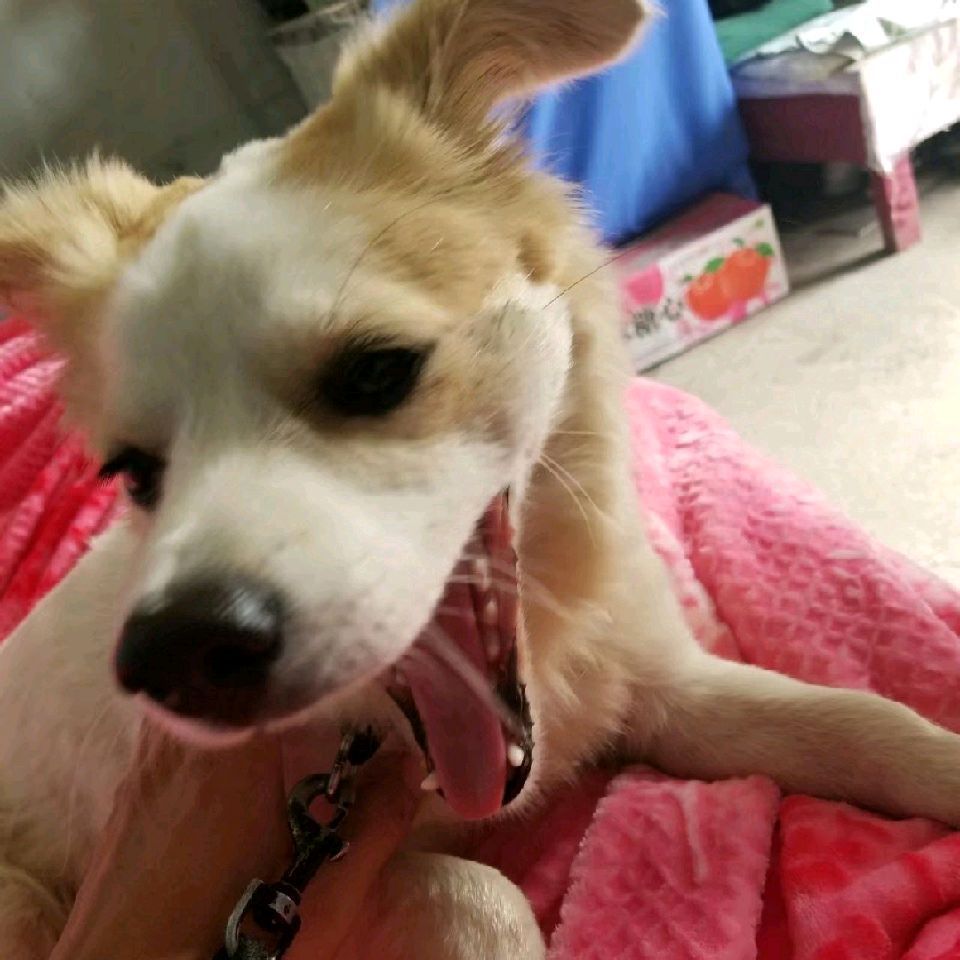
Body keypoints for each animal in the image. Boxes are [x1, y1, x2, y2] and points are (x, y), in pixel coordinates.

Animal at [4, 0, 960, 956]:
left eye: (377, 372)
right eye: (135, 472)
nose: (175, 661)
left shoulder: (667, 687)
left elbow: (867, 723)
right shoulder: (332, 884)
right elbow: (478, 890)